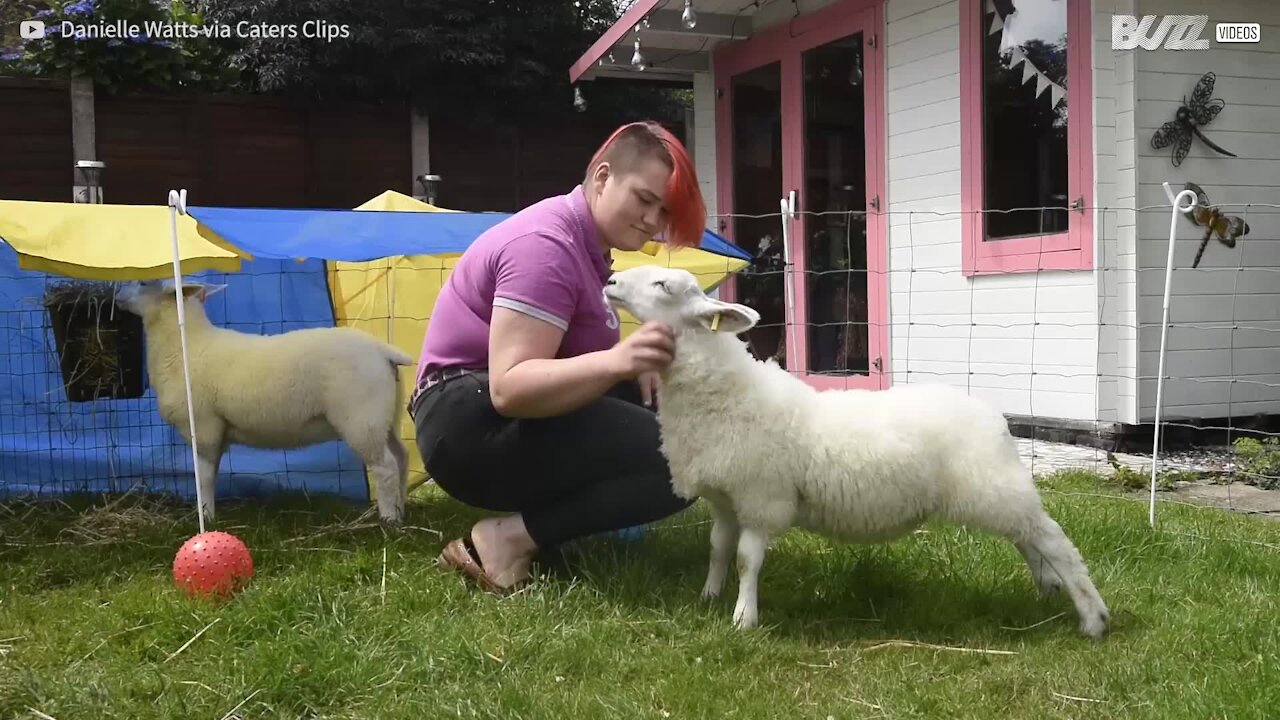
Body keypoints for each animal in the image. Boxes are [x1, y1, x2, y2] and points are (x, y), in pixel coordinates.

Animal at [117, 279, 409, 520]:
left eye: (143, 282)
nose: (117, 293)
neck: (184, 345)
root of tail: (382, 350)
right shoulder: (217, 431)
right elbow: (211, 474)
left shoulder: (203, 426)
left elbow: (203, 478)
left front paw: (206, 517)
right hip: (385, 417)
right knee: (401, 457)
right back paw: (401, 510)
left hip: (362, 418)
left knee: (385, 467)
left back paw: (388, 520)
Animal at [601, 266, 1111, 635]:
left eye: (664, 285)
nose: (609, 281)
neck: (726, 392)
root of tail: (994, 417)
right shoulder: (726, 497)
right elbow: (718, 549)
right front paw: (708, 597)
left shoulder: (762, 497)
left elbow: (747, 559)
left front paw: (744, 618)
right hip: (995, 492)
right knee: (1027, 538)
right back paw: (1047, 587)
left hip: (994, 487)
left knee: (1053, 540)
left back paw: (1093, 618)